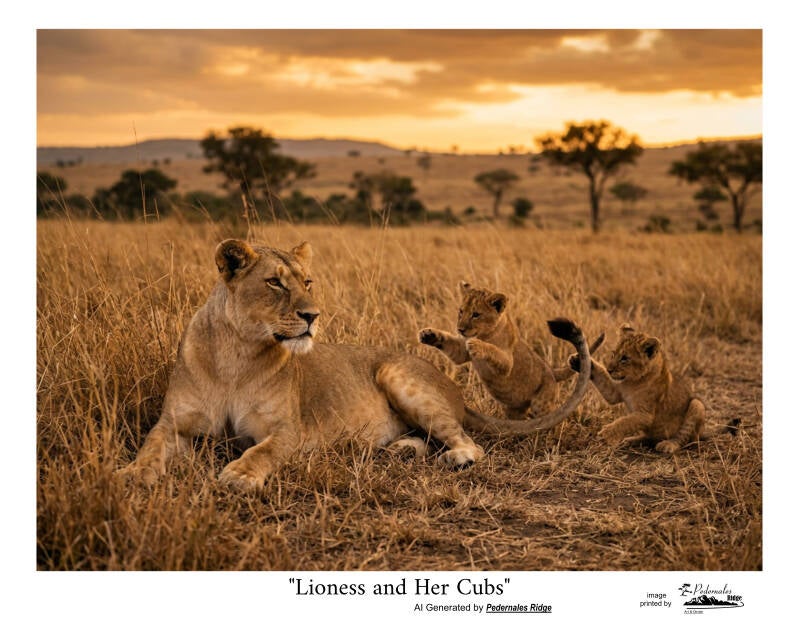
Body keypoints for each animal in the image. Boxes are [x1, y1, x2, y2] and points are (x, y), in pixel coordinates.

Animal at [419, 282, 600, 433]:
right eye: (461, 311)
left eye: (476, 314)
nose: (460, 329)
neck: (484, 334)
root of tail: (552, 372)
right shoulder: (461, 352)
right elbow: (450, 344)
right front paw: (428, 334)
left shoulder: (507, 363)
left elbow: (494, 351)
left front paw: (477, 345)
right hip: (515, 409)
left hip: (541, 403)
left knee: (550, 420)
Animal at [568, 323, 739, 453]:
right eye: (613, 354)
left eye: (625, 359)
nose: (610, 370)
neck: (631, 382)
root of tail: (703, 432)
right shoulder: (615, 392)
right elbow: (605, 384)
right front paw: (577, 361)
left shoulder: (645, 414)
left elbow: (624, 422)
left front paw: (605, 433)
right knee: (650, 437)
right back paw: (631, 440)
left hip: (696, 405)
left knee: (686, 439)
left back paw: (668, 445)